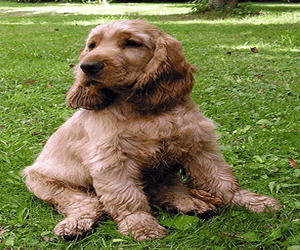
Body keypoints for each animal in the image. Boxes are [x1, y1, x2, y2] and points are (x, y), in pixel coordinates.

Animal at [22, 20, 278, 242]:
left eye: (131, 43)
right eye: (92, 45)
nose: (88, 67)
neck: (143, 110)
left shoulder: (199, 144)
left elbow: (220, 178)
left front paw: (252, 201)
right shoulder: (112, 160)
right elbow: (128, 197)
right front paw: (142, 226)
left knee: (164, 188)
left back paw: (190, 203)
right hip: (48, 184)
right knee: (89, 204)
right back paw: (74, 225)